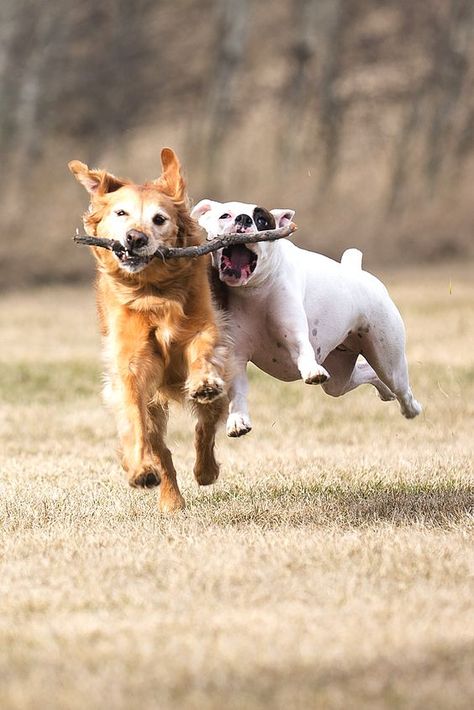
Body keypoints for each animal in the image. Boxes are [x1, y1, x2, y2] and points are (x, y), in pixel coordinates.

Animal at [191, 197, 420, 436]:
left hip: (388, 360)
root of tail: (358, 273)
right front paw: (238, 419)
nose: (243, 219)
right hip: (338, 378)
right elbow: (237, 389)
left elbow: (303, 349)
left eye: (262, 220)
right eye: (225, 215)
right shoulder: (236, 355)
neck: (254, 291)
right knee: (366, 373)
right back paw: (385, 392)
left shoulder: (293, 332)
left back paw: (411, 408)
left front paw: (311, 370)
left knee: (399, 386)